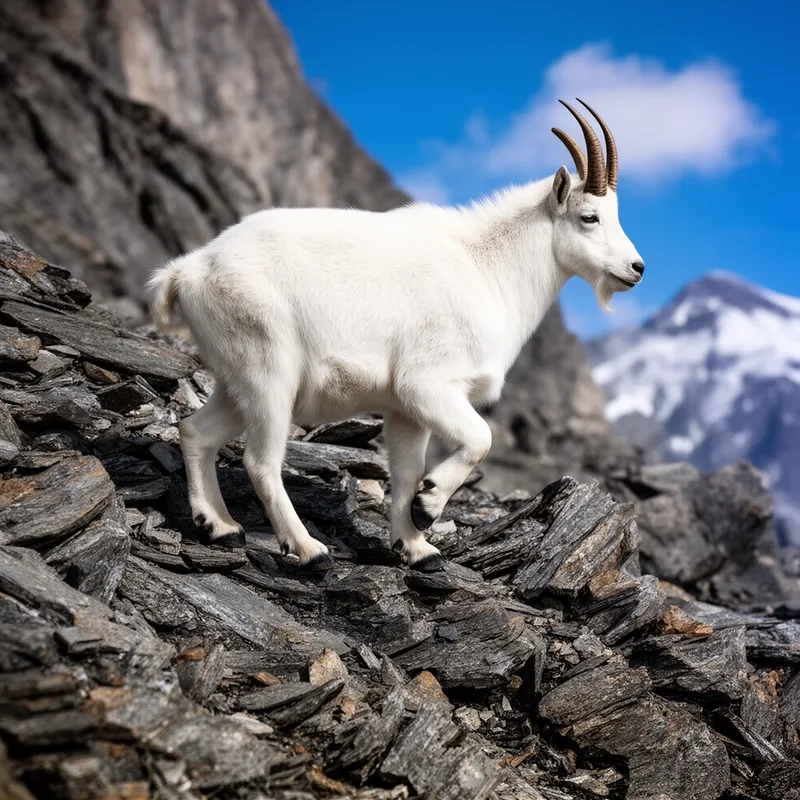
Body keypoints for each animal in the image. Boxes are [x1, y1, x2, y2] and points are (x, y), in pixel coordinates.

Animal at [148, 99, 644, 572]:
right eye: (589, 216)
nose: (636, 268)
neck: (484, 268)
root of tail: (188, 270)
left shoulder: (406, 409)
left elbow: (406, 473)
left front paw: (418, 549)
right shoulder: (426, 384)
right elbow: (481, 438)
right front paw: (429, 506)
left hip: (238, 379)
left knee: (196, 431)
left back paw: (220, 526)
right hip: (270, 372)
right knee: (260, 461)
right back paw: (309, 550)